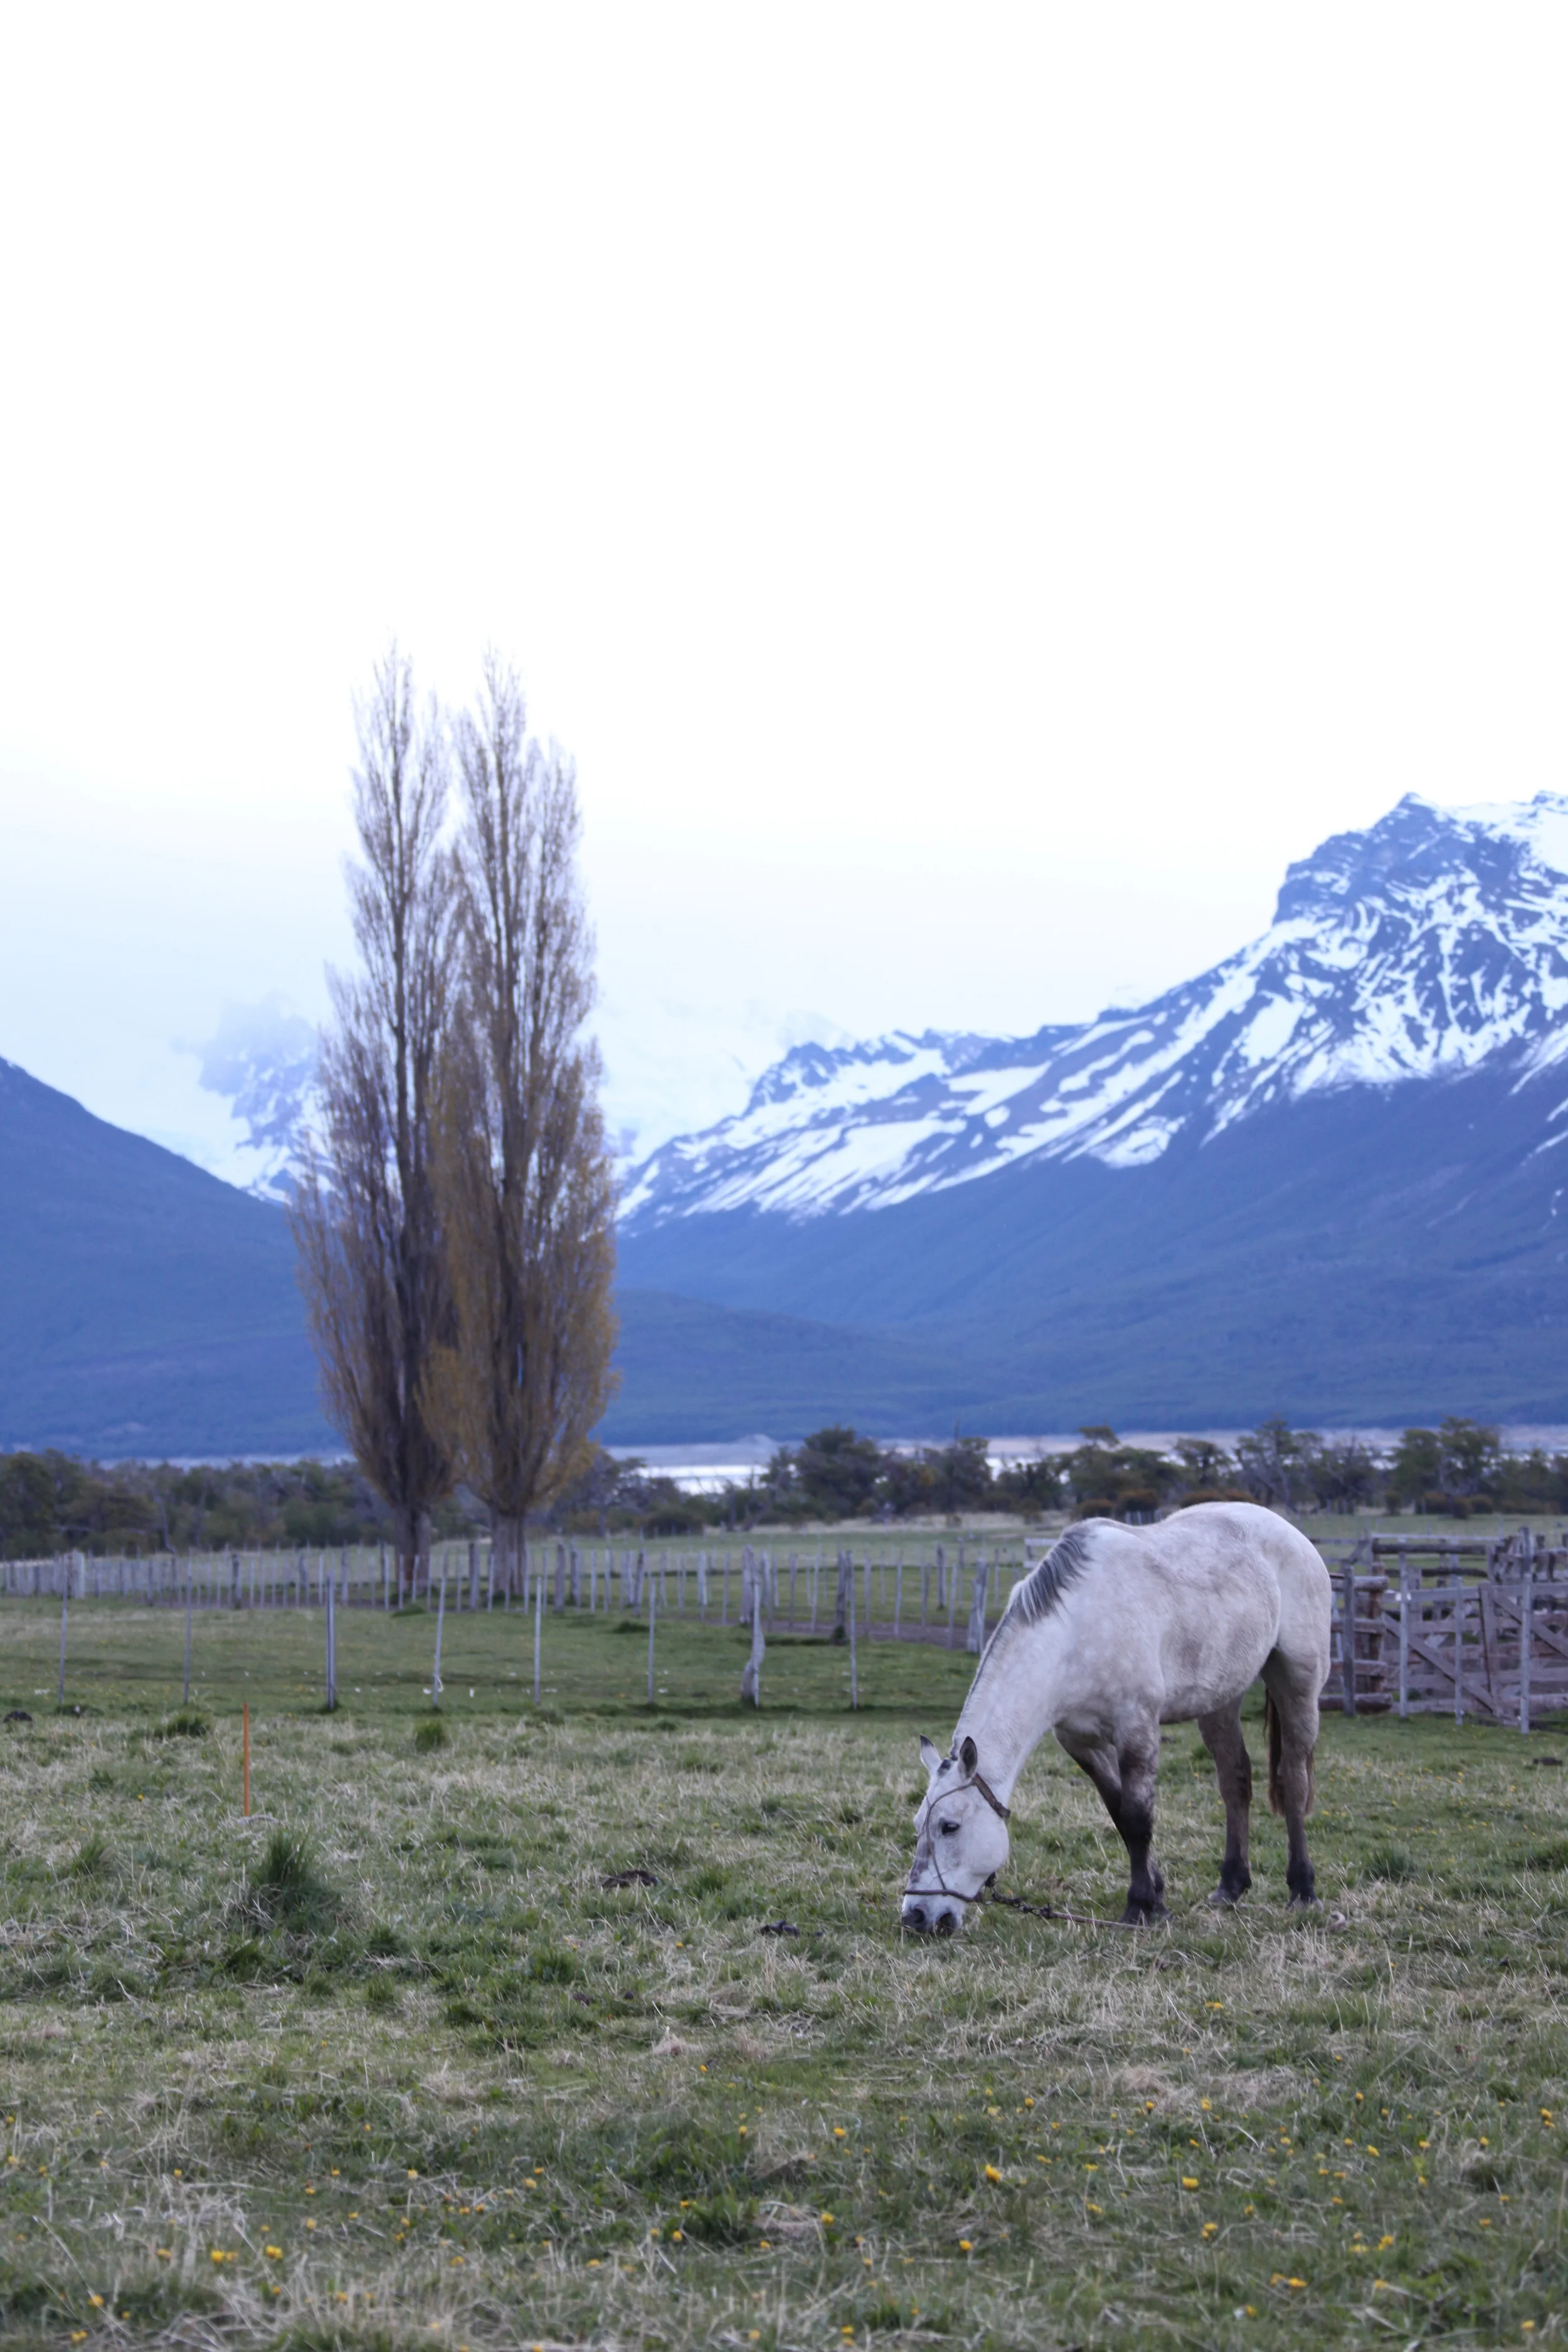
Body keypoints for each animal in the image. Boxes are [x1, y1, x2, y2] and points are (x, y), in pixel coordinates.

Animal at [900, 1501, 1331, 1934]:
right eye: (918, 1824)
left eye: (949, 1826)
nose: (915, 1916)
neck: (1075, 1632)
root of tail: (1292, 1534)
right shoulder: (1081, 1741)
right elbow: (1120, 1815)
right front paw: (1157, 1898)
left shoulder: (1137, 1731)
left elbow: (1138, 1819)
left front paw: (1140, 1908)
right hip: (1221, 1700)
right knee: (1235, 1782)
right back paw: (1231, 1886)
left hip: (1298, 1681)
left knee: (1294, 1781)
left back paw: (1303, 1889)